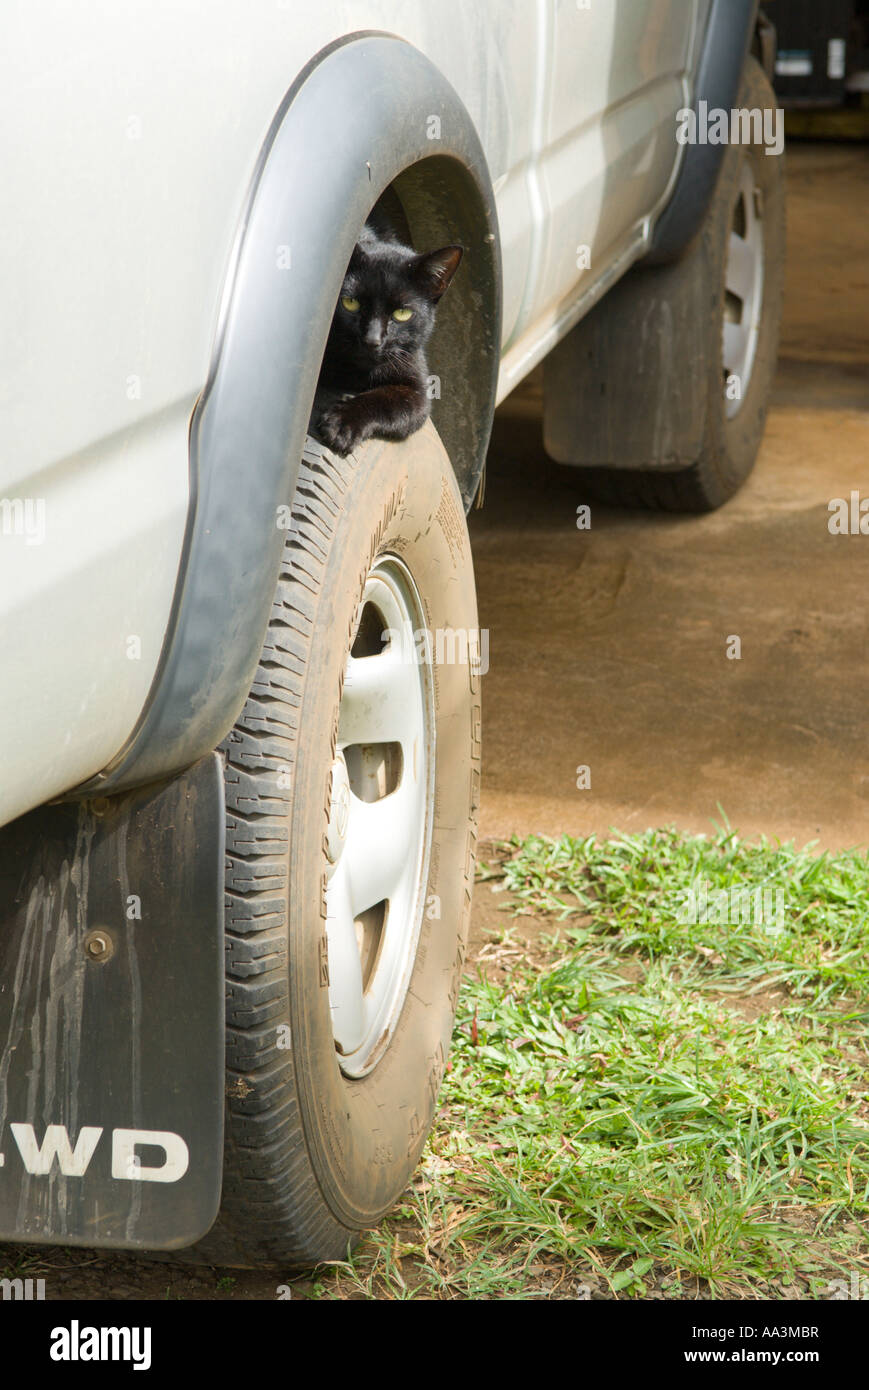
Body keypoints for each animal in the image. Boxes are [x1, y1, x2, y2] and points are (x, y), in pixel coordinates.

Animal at [311, 226, 461, 455]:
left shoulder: (416, 388)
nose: (372, 339)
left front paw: (342, 423)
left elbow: (387, 401)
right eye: (350, 302)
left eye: (402, 313)